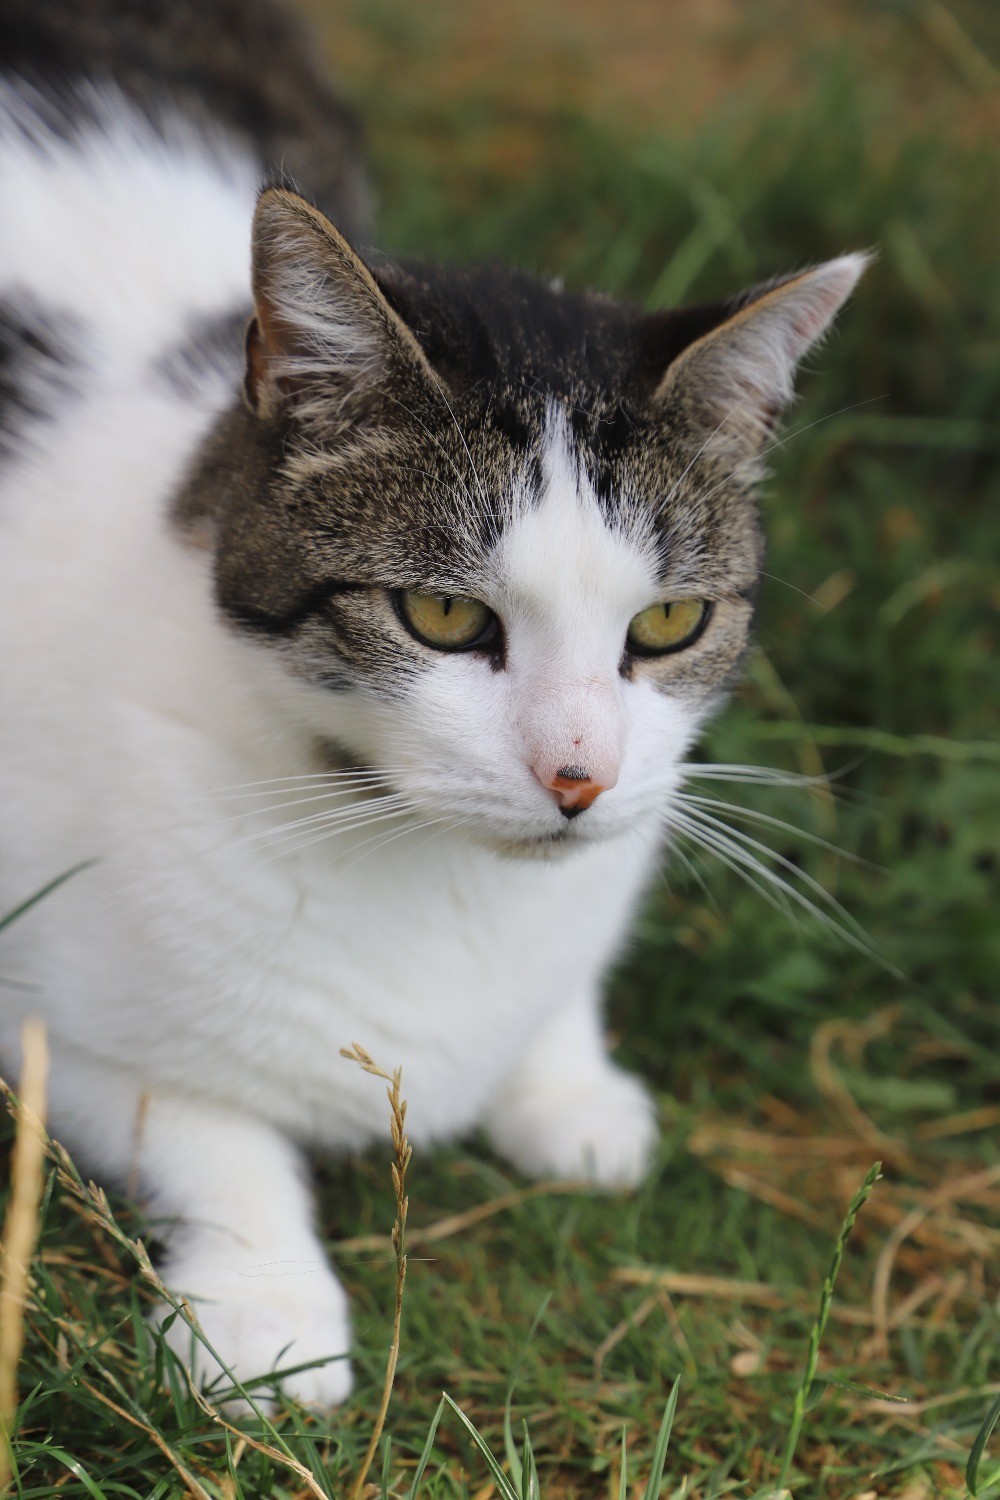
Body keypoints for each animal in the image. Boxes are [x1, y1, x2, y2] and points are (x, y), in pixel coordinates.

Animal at [0, 0, 869, 1410]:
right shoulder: (46, 1005)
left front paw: (570, 1088)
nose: (579, 776)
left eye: (668, 625)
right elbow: (196, 1116)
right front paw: (265, 1309)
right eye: (445, 618)